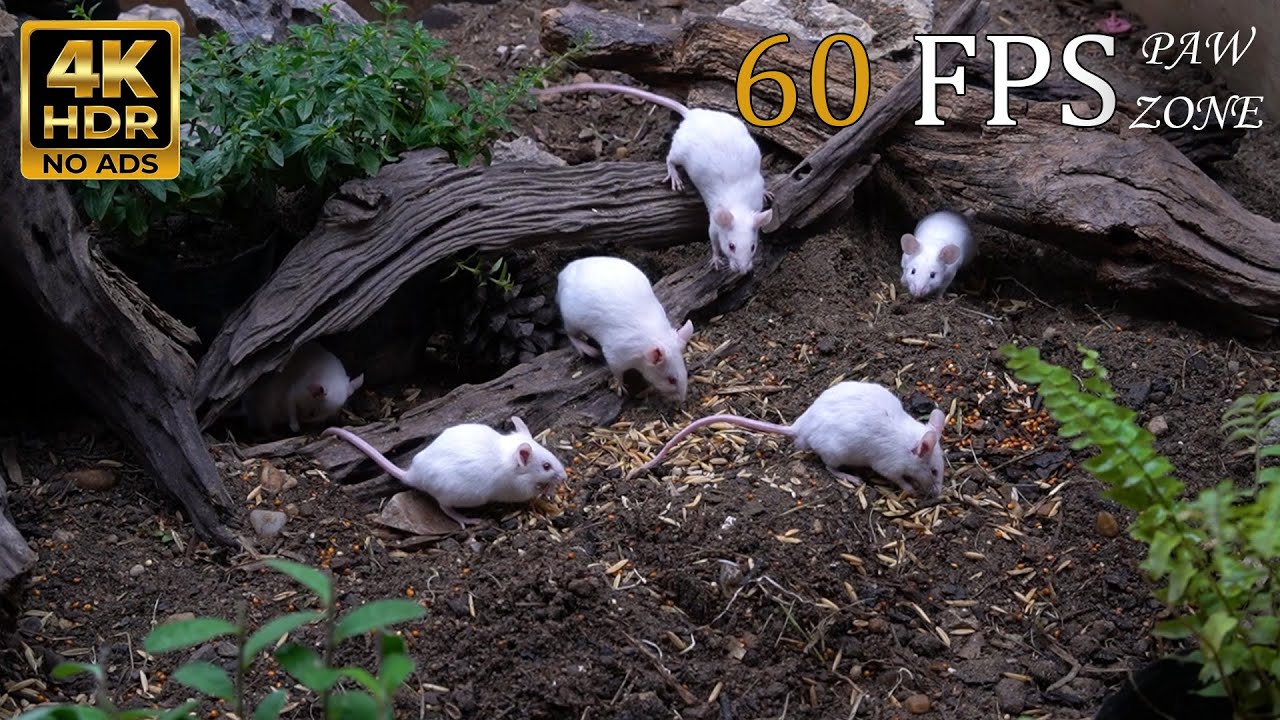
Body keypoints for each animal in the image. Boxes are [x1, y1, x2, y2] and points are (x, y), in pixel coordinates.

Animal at [322, 416, 567, 529]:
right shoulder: (517, 490)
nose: (565, 476)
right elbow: (533, 494)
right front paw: (548, 490)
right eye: (546, 466)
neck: (511, 460)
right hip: (462, 496)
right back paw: (468, 520)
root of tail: (413, 474)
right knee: (444, 508)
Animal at [534, 82, 772, 274]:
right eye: (731, 246)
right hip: (680, 150)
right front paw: (715, 260)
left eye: (752, 247)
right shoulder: (714, 224)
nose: (744, 271)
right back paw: (674, 176)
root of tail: (692, 116)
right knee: (669, 158)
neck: (740, 206)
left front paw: (768, 193)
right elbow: (712, 240)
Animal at [556, 256, 694, 403]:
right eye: (671, 380)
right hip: (571, 320)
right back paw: (587, 349)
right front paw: (620, 386)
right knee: (570, 334)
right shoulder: (616, 357)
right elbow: (617, 373)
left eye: (685, 371)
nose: (683, 400)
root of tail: (563, 274)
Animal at [628, 381, 948, 498]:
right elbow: (900, 480)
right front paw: (912, 490)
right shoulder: (889, 466)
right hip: (837, 451)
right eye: (934, 471)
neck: (909, 445)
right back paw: (851, 478)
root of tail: (799, 428)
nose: (939, 495)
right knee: (829, 466)